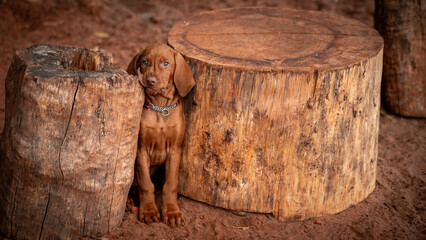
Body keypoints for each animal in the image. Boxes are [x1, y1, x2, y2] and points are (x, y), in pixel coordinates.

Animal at [125, 44, 194, 226]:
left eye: (165, 63)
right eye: (144, 62)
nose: (150, 80)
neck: (160, 108)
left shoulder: (175, 151)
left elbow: (170, 184)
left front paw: (171, 212)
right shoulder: (141, 150)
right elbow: (146, 184)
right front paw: (149, 210)